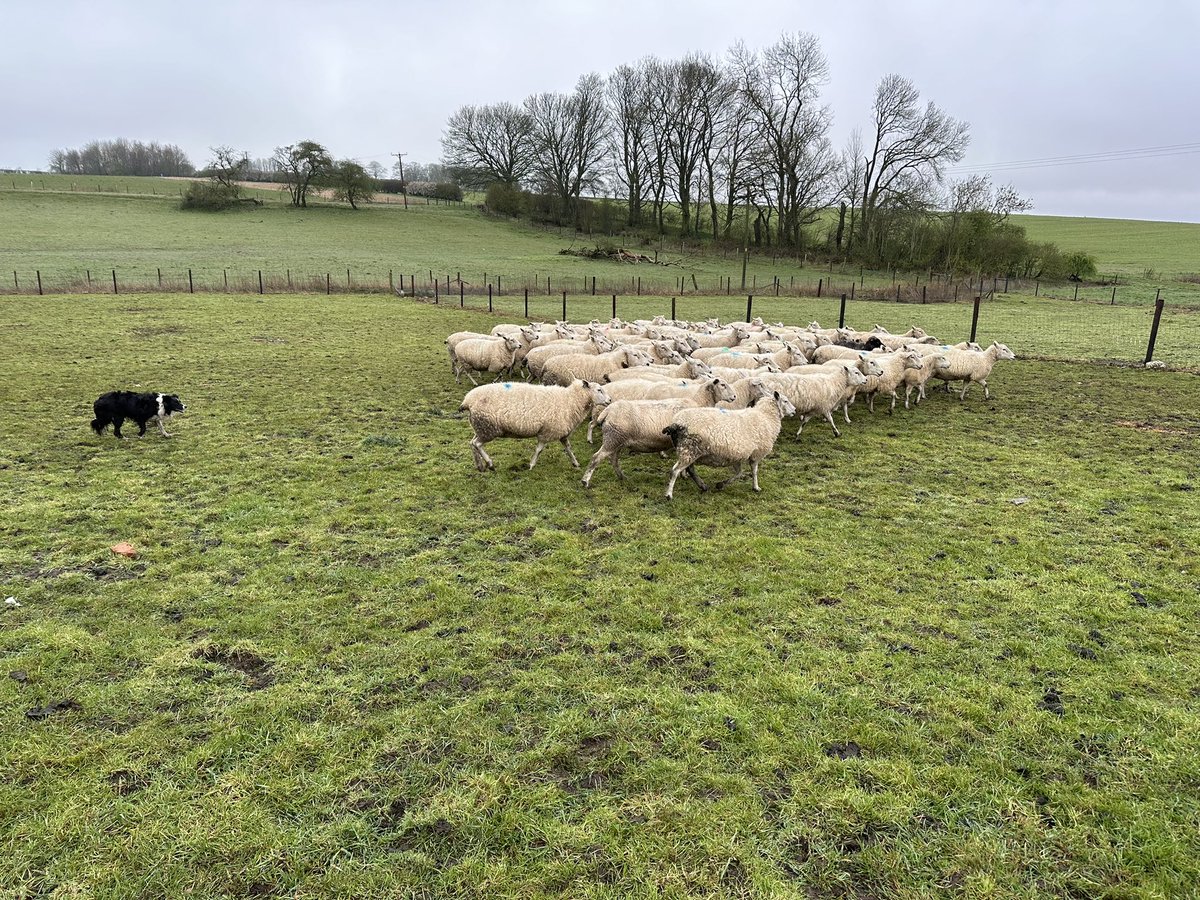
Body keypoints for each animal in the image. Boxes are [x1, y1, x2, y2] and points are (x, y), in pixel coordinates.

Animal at [458, 376, 609, 472]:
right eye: (599, 390)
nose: (609, 400)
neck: (571, 400)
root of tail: (467, 401)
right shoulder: (547, 432)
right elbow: (539, 450)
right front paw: (531, 465)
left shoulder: (561, 433)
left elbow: (568, 448)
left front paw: (575, 463)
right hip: (488, 427)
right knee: (477, 444)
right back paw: (489, 464)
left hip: (480, 427)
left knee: (472, 443)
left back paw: (479, 466)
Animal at [657, 388, 796, 501]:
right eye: (785, 401)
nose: (794, 410)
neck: (766, 416)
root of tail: (676, 423)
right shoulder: (756, 453)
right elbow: (754, 471)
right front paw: (756, 487)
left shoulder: (737, 455)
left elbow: (739, 473)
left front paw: (720, 484)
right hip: (689, 449)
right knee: (675, 471)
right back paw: (669, 494)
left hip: (689, 451)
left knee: (690, 469)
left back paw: (702, 486)